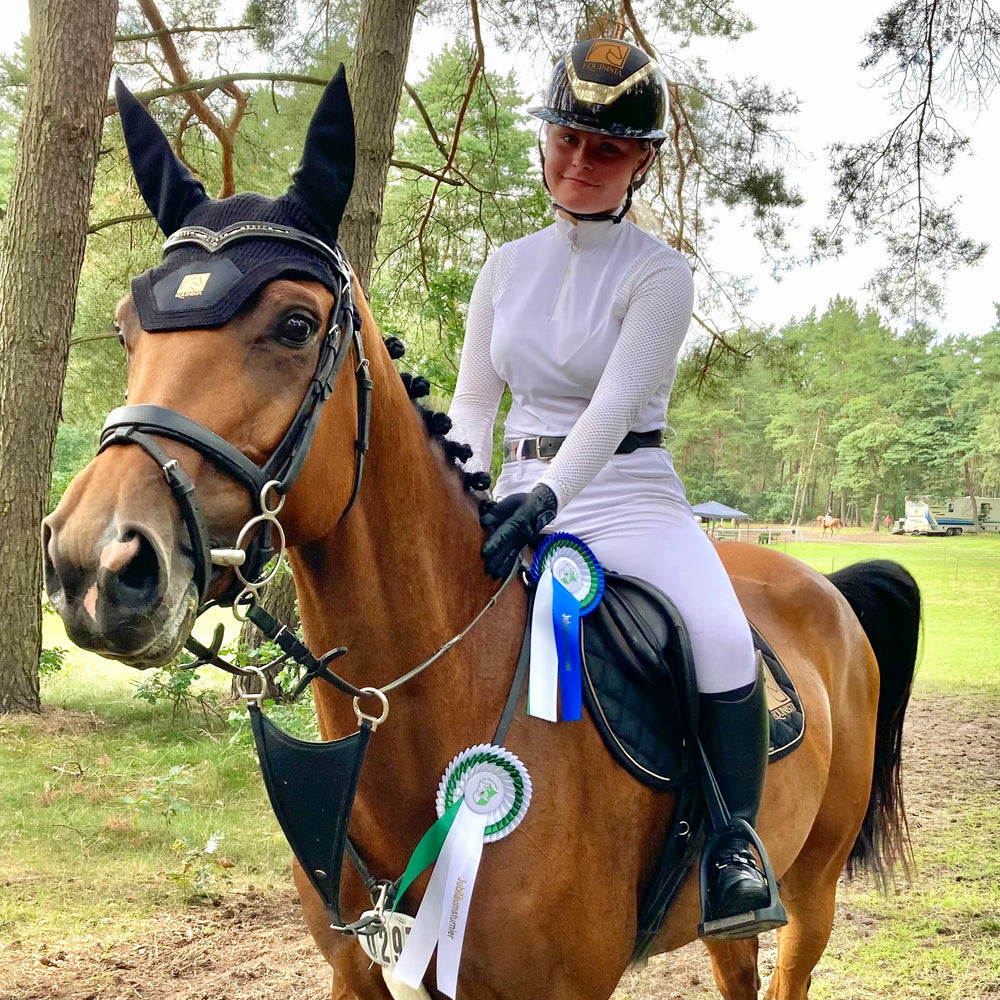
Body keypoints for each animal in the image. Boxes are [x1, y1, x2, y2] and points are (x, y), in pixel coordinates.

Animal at [47, 74, 920, 1000]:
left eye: (294, 326)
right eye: (125, 328)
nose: (95, 564)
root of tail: (826, 590)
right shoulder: (363, 972)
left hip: (811, 889)